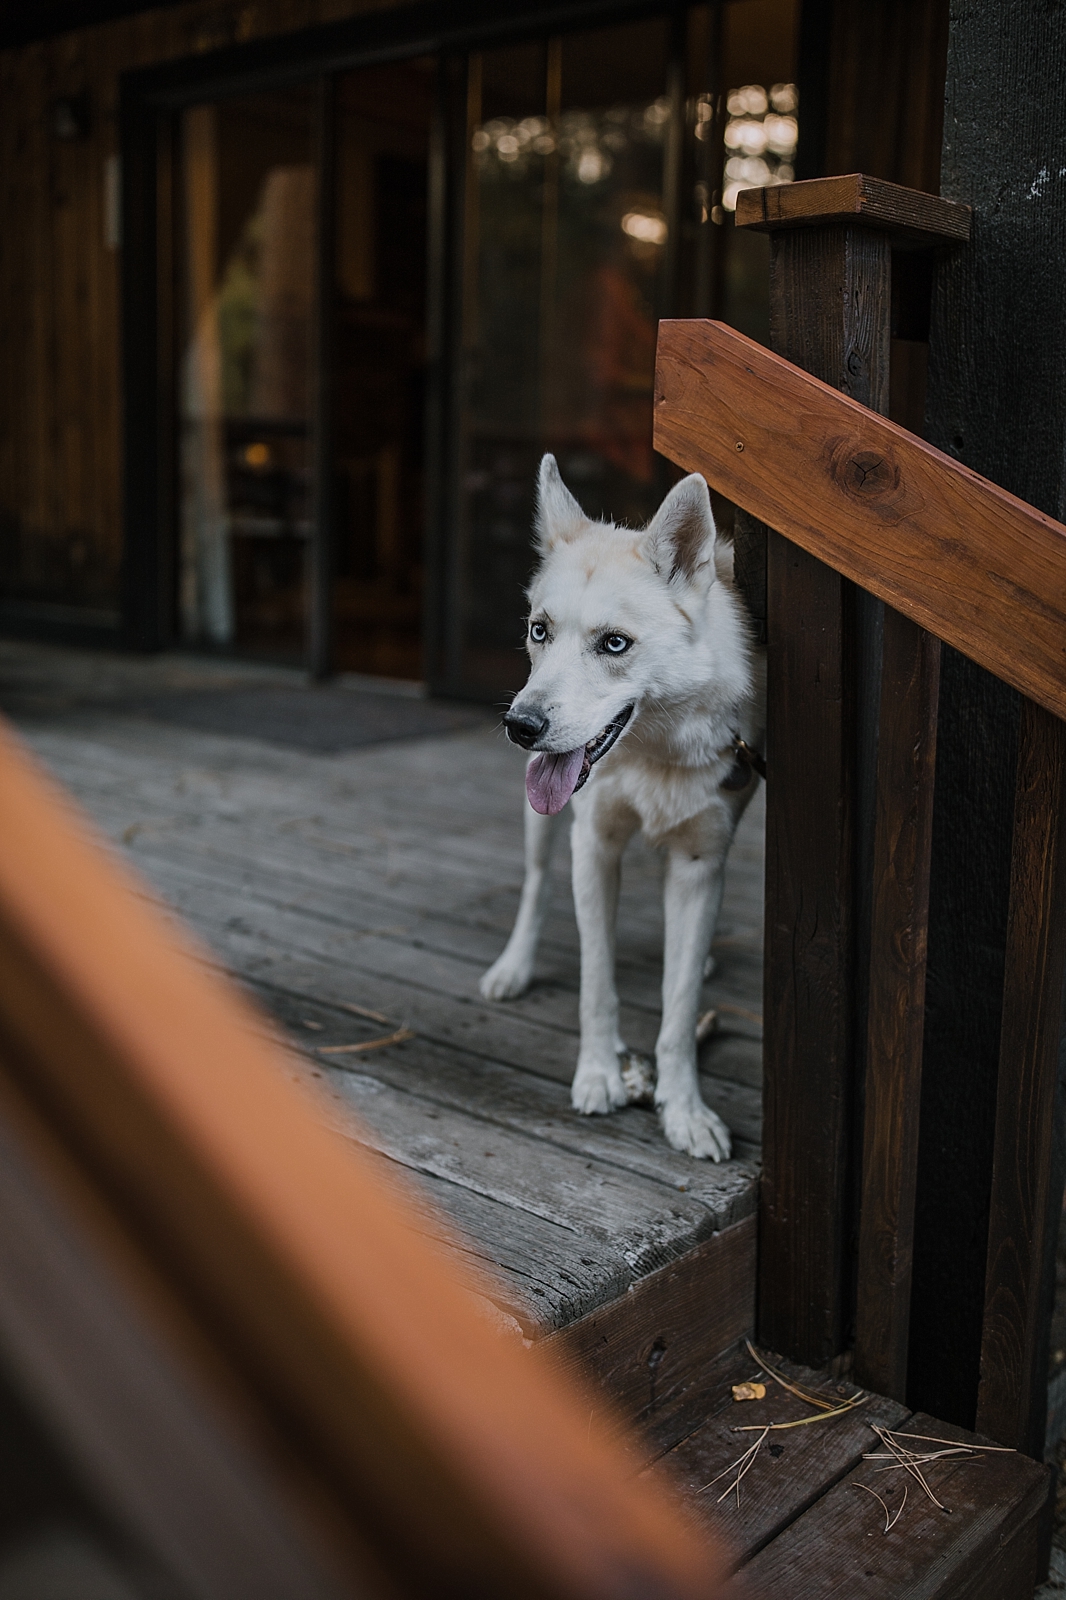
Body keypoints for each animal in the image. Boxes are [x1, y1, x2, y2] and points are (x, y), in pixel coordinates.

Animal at [476, 457, 758, 1158]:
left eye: (614, 644)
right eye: (539, 630)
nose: (520, 727)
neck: (653, 747)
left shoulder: (699, 864)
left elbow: (679, 1008)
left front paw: (684, 1111)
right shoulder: (593, 845)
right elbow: (595, 984)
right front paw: (600, 1075)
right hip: (539, 822)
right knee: (536, 883)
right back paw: (513, 968)